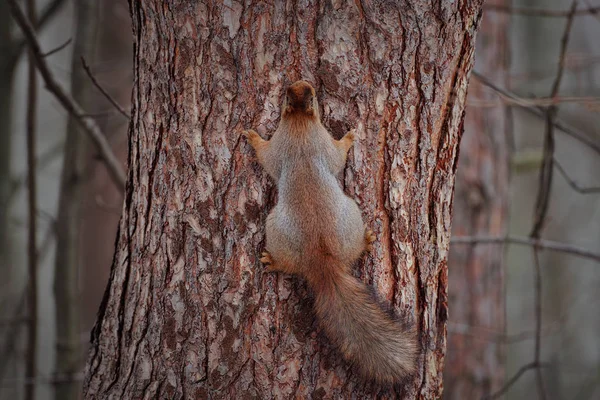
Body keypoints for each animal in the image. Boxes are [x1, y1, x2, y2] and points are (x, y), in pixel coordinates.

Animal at [243, 79, 418, 382]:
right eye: (293, 90)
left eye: (307, 91)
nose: (302, 81)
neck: (300, 121)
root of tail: (322, 260)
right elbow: (332, 155)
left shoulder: (293, 143)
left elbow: (272, 155)